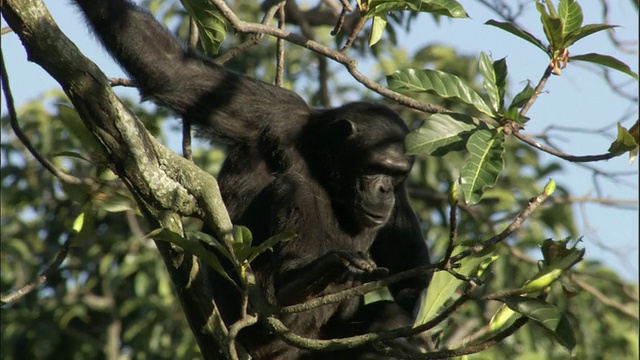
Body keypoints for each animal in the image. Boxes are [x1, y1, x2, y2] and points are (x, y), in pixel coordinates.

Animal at [74, 1, 430, 358]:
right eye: (375, 167)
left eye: (397, 173)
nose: (384, 189)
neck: (324, 162)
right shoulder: (276, 113)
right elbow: (173, 72)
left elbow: (410, 271)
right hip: (261, 325)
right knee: (296, 189)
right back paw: (304, 282)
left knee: (385, 314)